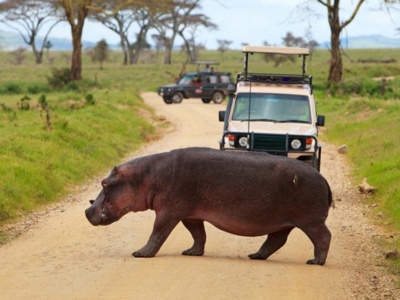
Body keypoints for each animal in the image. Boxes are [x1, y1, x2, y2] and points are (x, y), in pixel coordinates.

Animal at [86, 147, 332, 264]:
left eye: (105, 183)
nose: (87, 210)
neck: (145, 177)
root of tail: (324, 179)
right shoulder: (190, 215)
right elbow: (198, 234)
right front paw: (191, 253)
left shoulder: (168, 212)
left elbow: (157, 233)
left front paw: (140, 253)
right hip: (285, 223)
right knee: (276, 240)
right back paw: (255, 256)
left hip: (311, 220)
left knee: (323, 236)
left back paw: (315, 261)